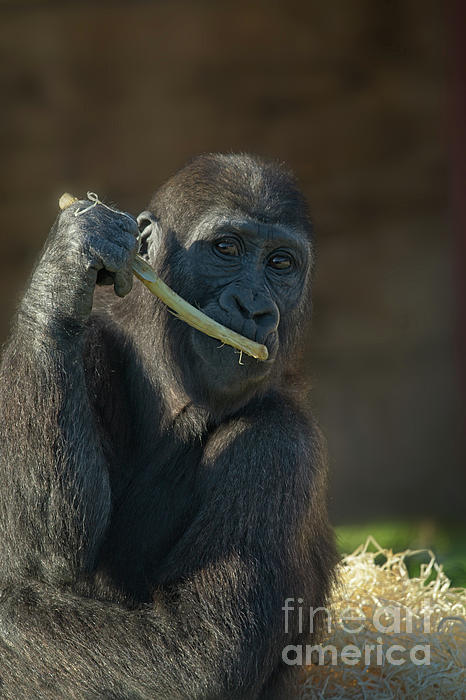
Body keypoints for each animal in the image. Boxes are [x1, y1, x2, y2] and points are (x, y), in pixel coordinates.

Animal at [0, 154, 336, 700]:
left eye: (280, 264)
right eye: (227, 248)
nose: (254, 308)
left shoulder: (281, 447)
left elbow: (196, 653)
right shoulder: (92, 343)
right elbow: (37, 547)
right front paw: (66, 270)